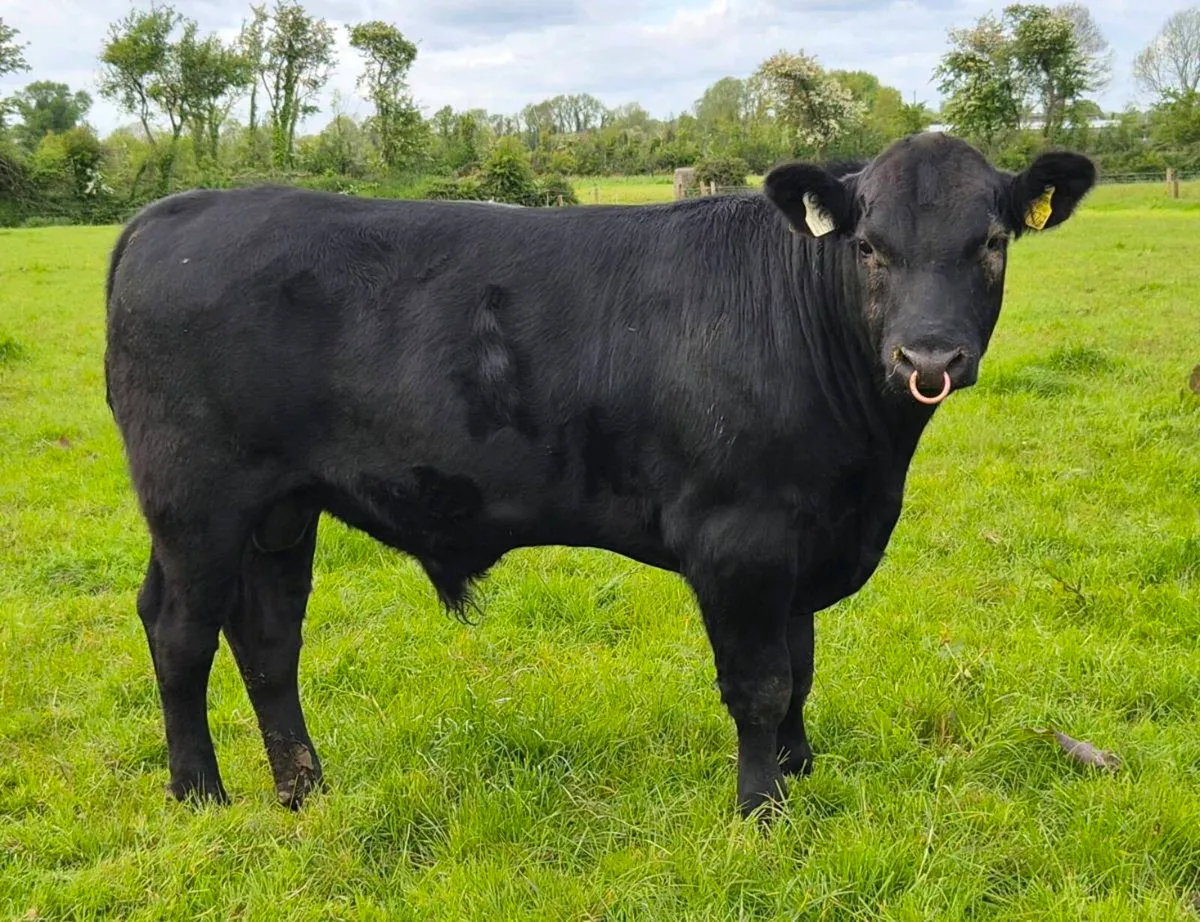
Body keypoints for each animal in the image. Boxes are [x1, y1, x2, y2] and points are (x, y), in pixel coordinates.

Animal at [103, 132, 1096, 819]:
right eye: (868, 248)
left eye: (991, 242)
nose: (927, 357)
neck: (869, 467)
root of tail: (170, 214)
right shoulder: (738, 538)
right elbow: (760, 682)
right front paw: (761, 807)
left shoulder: (804, 539)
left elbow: (802, 670)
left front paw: (801, 772)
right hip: (194, 499)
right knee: (180, 632)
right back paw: (200, 795)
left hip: (281, 508)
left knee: (268, 638)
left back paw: (305, 788)